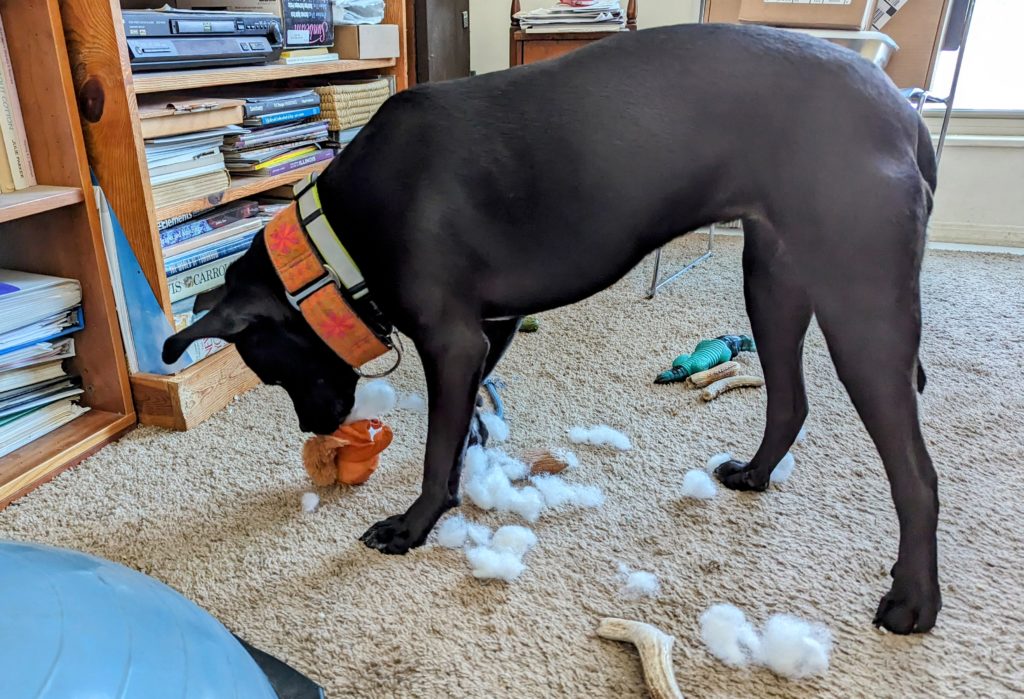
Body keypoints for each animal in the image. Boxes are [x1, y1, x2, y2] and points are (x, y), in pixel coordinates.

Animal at [163, 23, 937, 634]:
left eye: (269, 370)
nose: (313, 430)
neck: (333, 242)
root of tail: (896, 109)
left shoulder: (452, 340)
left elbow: (435, 450)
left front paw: (414, 525)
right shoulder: (491, 329)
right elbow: (465, 420)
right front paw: (470, 459)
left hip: (860, 306)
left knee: (916, 474)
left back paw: (913, 600)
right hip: (773, 280)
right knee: (791, 401)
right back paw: (754, 473)